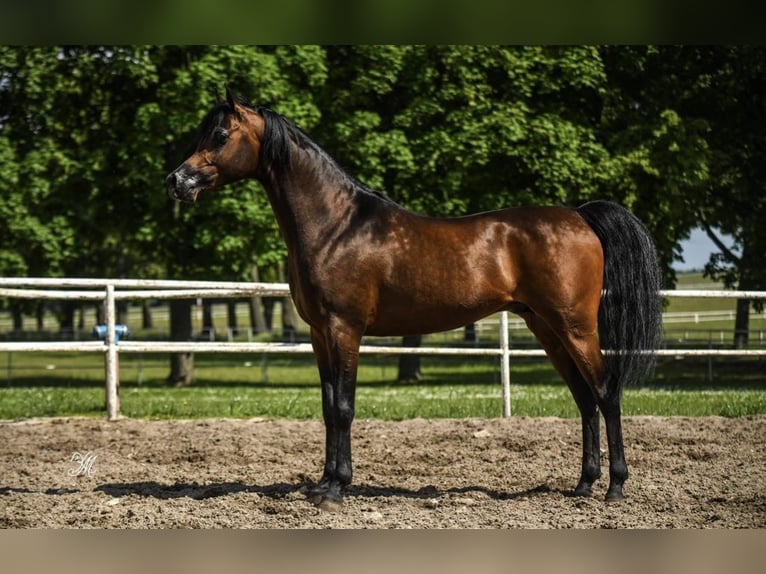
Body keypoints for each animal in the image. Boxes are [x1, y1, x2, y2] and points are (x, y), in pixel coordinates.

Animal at [166, 86, 663, 510]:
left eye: (220, 135)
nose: (176, 181)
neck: (336, 225)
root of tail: (579, 216)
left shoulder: (345, 329)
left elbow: (344, 407)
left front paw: (337, 490)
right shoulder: (318, 333)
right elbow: (327, 407)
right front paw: (322, 485)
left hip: (575, 327)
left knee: (606, 391)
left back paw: (615, 487)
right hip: (545, 327)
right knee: (584, 398)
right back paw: (582, 486)